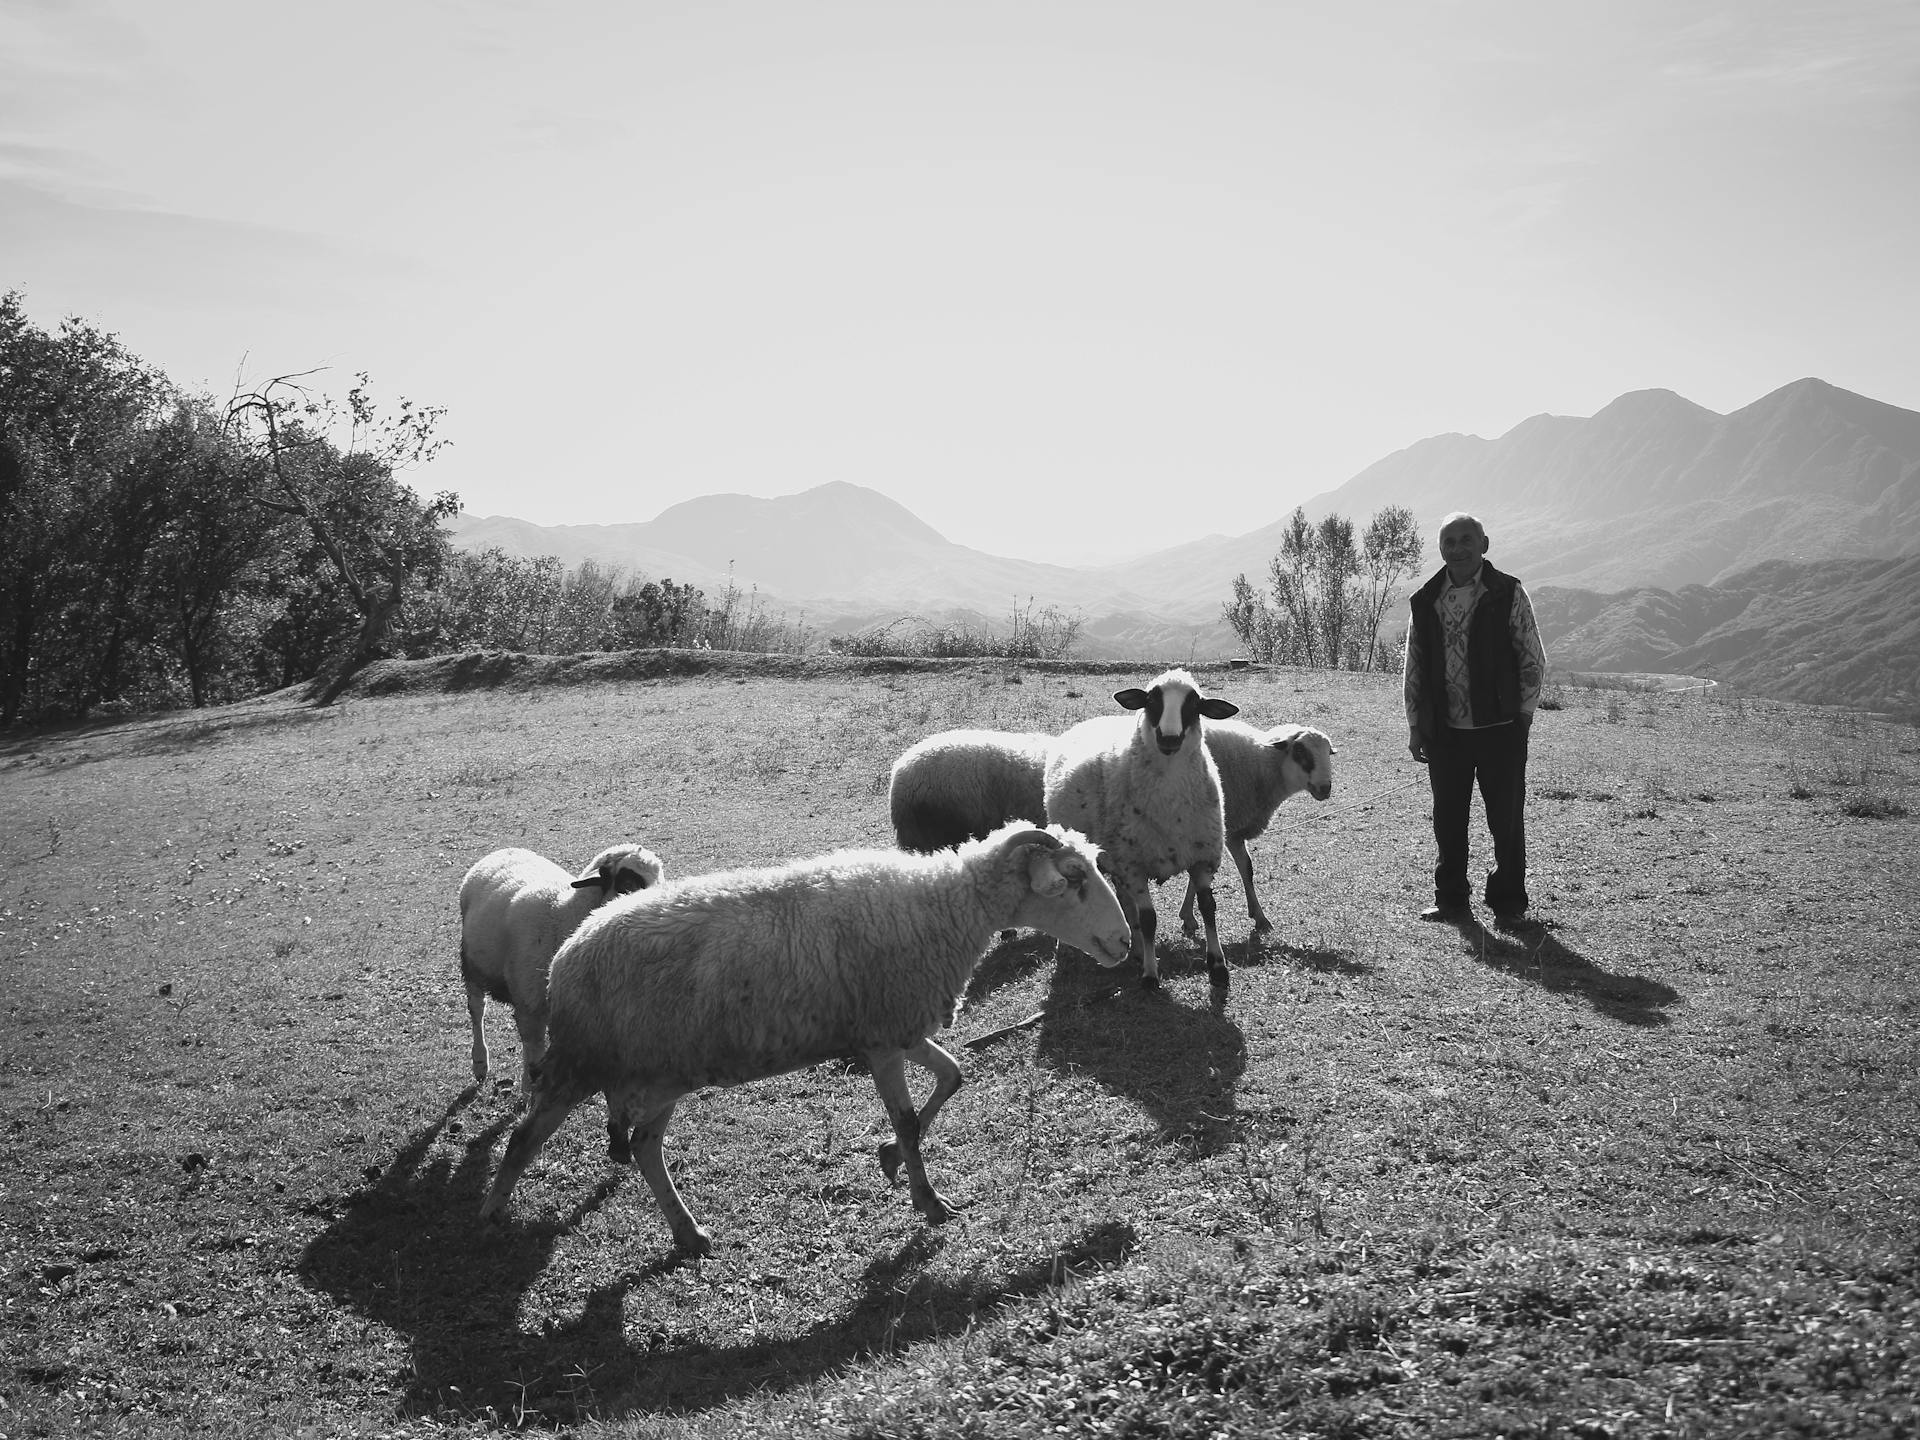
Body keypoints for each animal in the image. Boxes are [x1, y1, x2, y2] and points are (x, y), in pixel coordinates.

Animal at [455, 844, 660, 1090]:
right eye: (628, 884)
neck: (563, 913)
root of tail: (505, 849)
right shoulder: (530, 1008)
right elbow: (534, 1061)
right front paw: (529, 1092)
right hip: (472, 964)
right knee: (477, 1010)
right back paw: (480, 1062)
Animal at [480, 821, 1128, 1251]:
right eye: (1073, 878)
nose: (1122, 943)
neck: (946, 907)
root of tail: (567, 954)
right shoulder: (884, 1039)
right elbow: (908, 1119)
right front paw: (928, 1201)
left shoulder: (892, 1028)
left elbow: (953, 1075)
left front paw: (890, 1160)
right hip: (583, 1062)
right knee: (524, 1138)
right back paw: (493, 1210)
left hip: (663, 1071)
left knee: (642, 1144)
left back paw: (688, 1233)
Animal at [1044, 668, 1236, 990]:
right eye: (1151, 701)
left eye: (1194, 705)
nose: (1169, 738)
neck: (1171, 806)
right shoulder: (1134, 864)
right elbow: (1149, 920)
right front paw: (1149, 974)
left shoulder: (1202, 856)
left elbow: (1208, 907)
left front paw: (1218, 967)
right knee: (1129, 907)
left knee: (1125, 901)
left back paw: (1133, 949)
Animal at [1167, 721, 1336, 948]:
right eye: (1300, 751)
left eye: (1329, 752)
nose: (1325, 788)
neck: (1258, 765)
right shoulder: (1220, 828)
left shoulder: (1220, 831)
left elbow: (1245, 869)